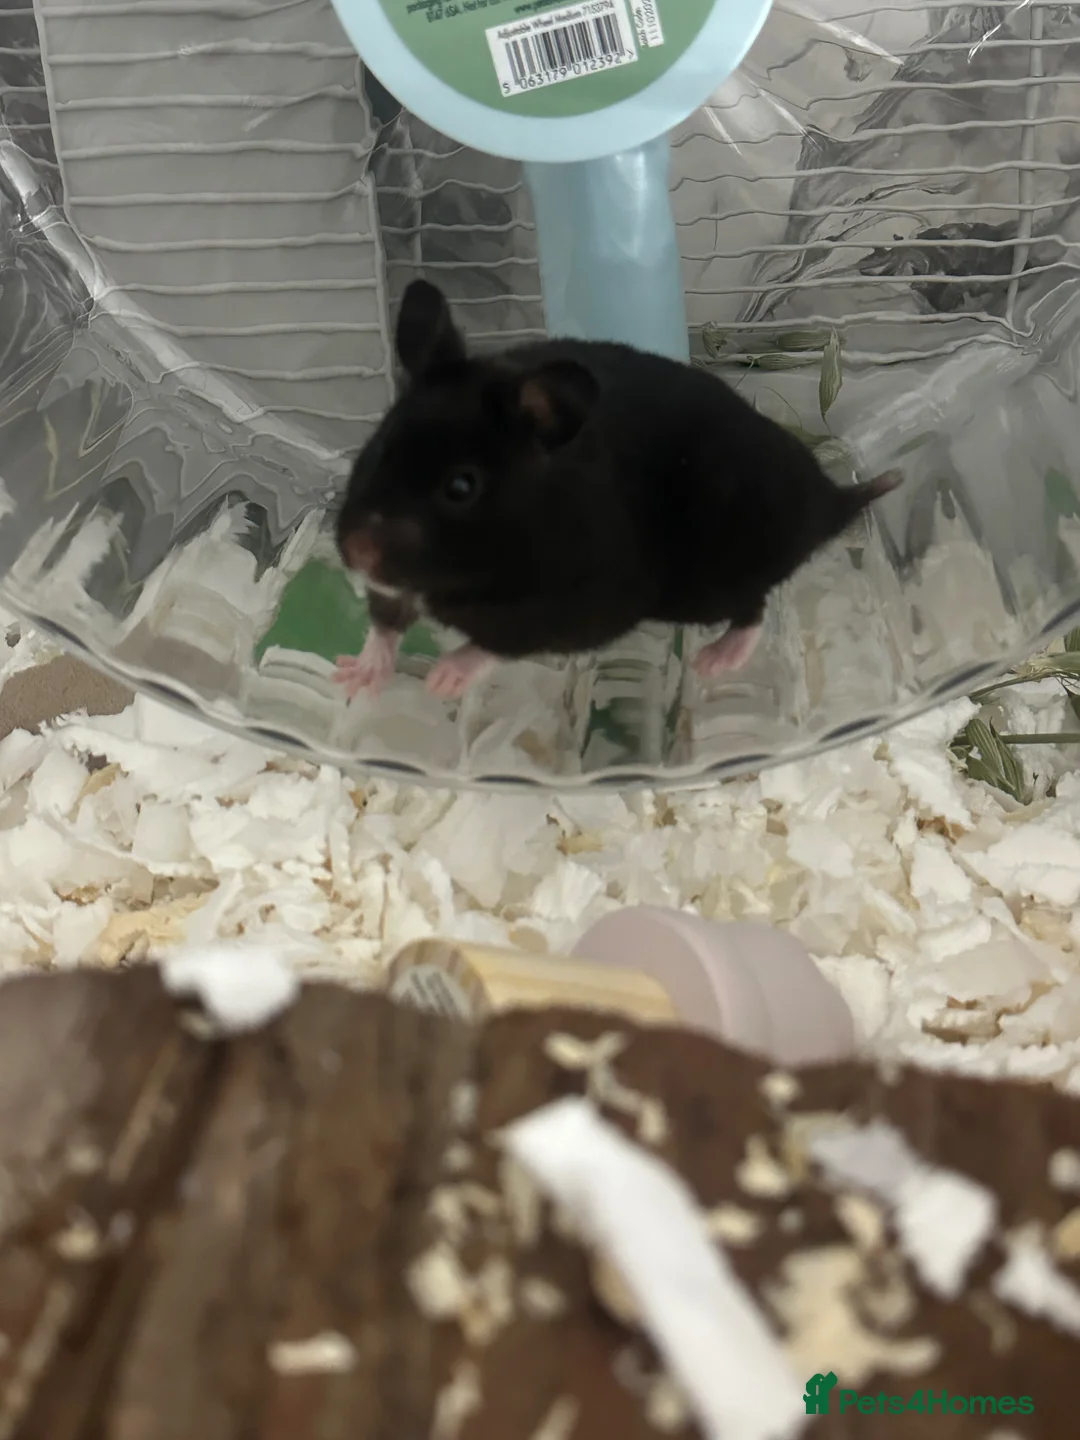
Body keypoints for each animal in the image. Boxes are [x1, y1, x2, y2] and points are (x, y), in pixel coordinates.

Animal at [334, 279, 901, 700]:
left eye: (460, 486)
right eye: (376, 447)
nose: (356, 555)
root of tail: (830, 498)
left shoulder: (571, 606)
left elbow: (496, 644)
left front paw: (442, 680)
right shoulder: (396, 588)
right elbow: (385, 625)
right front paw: (353, 675)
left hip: (718, 578)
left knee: (754, 610)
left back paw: (712, 663)